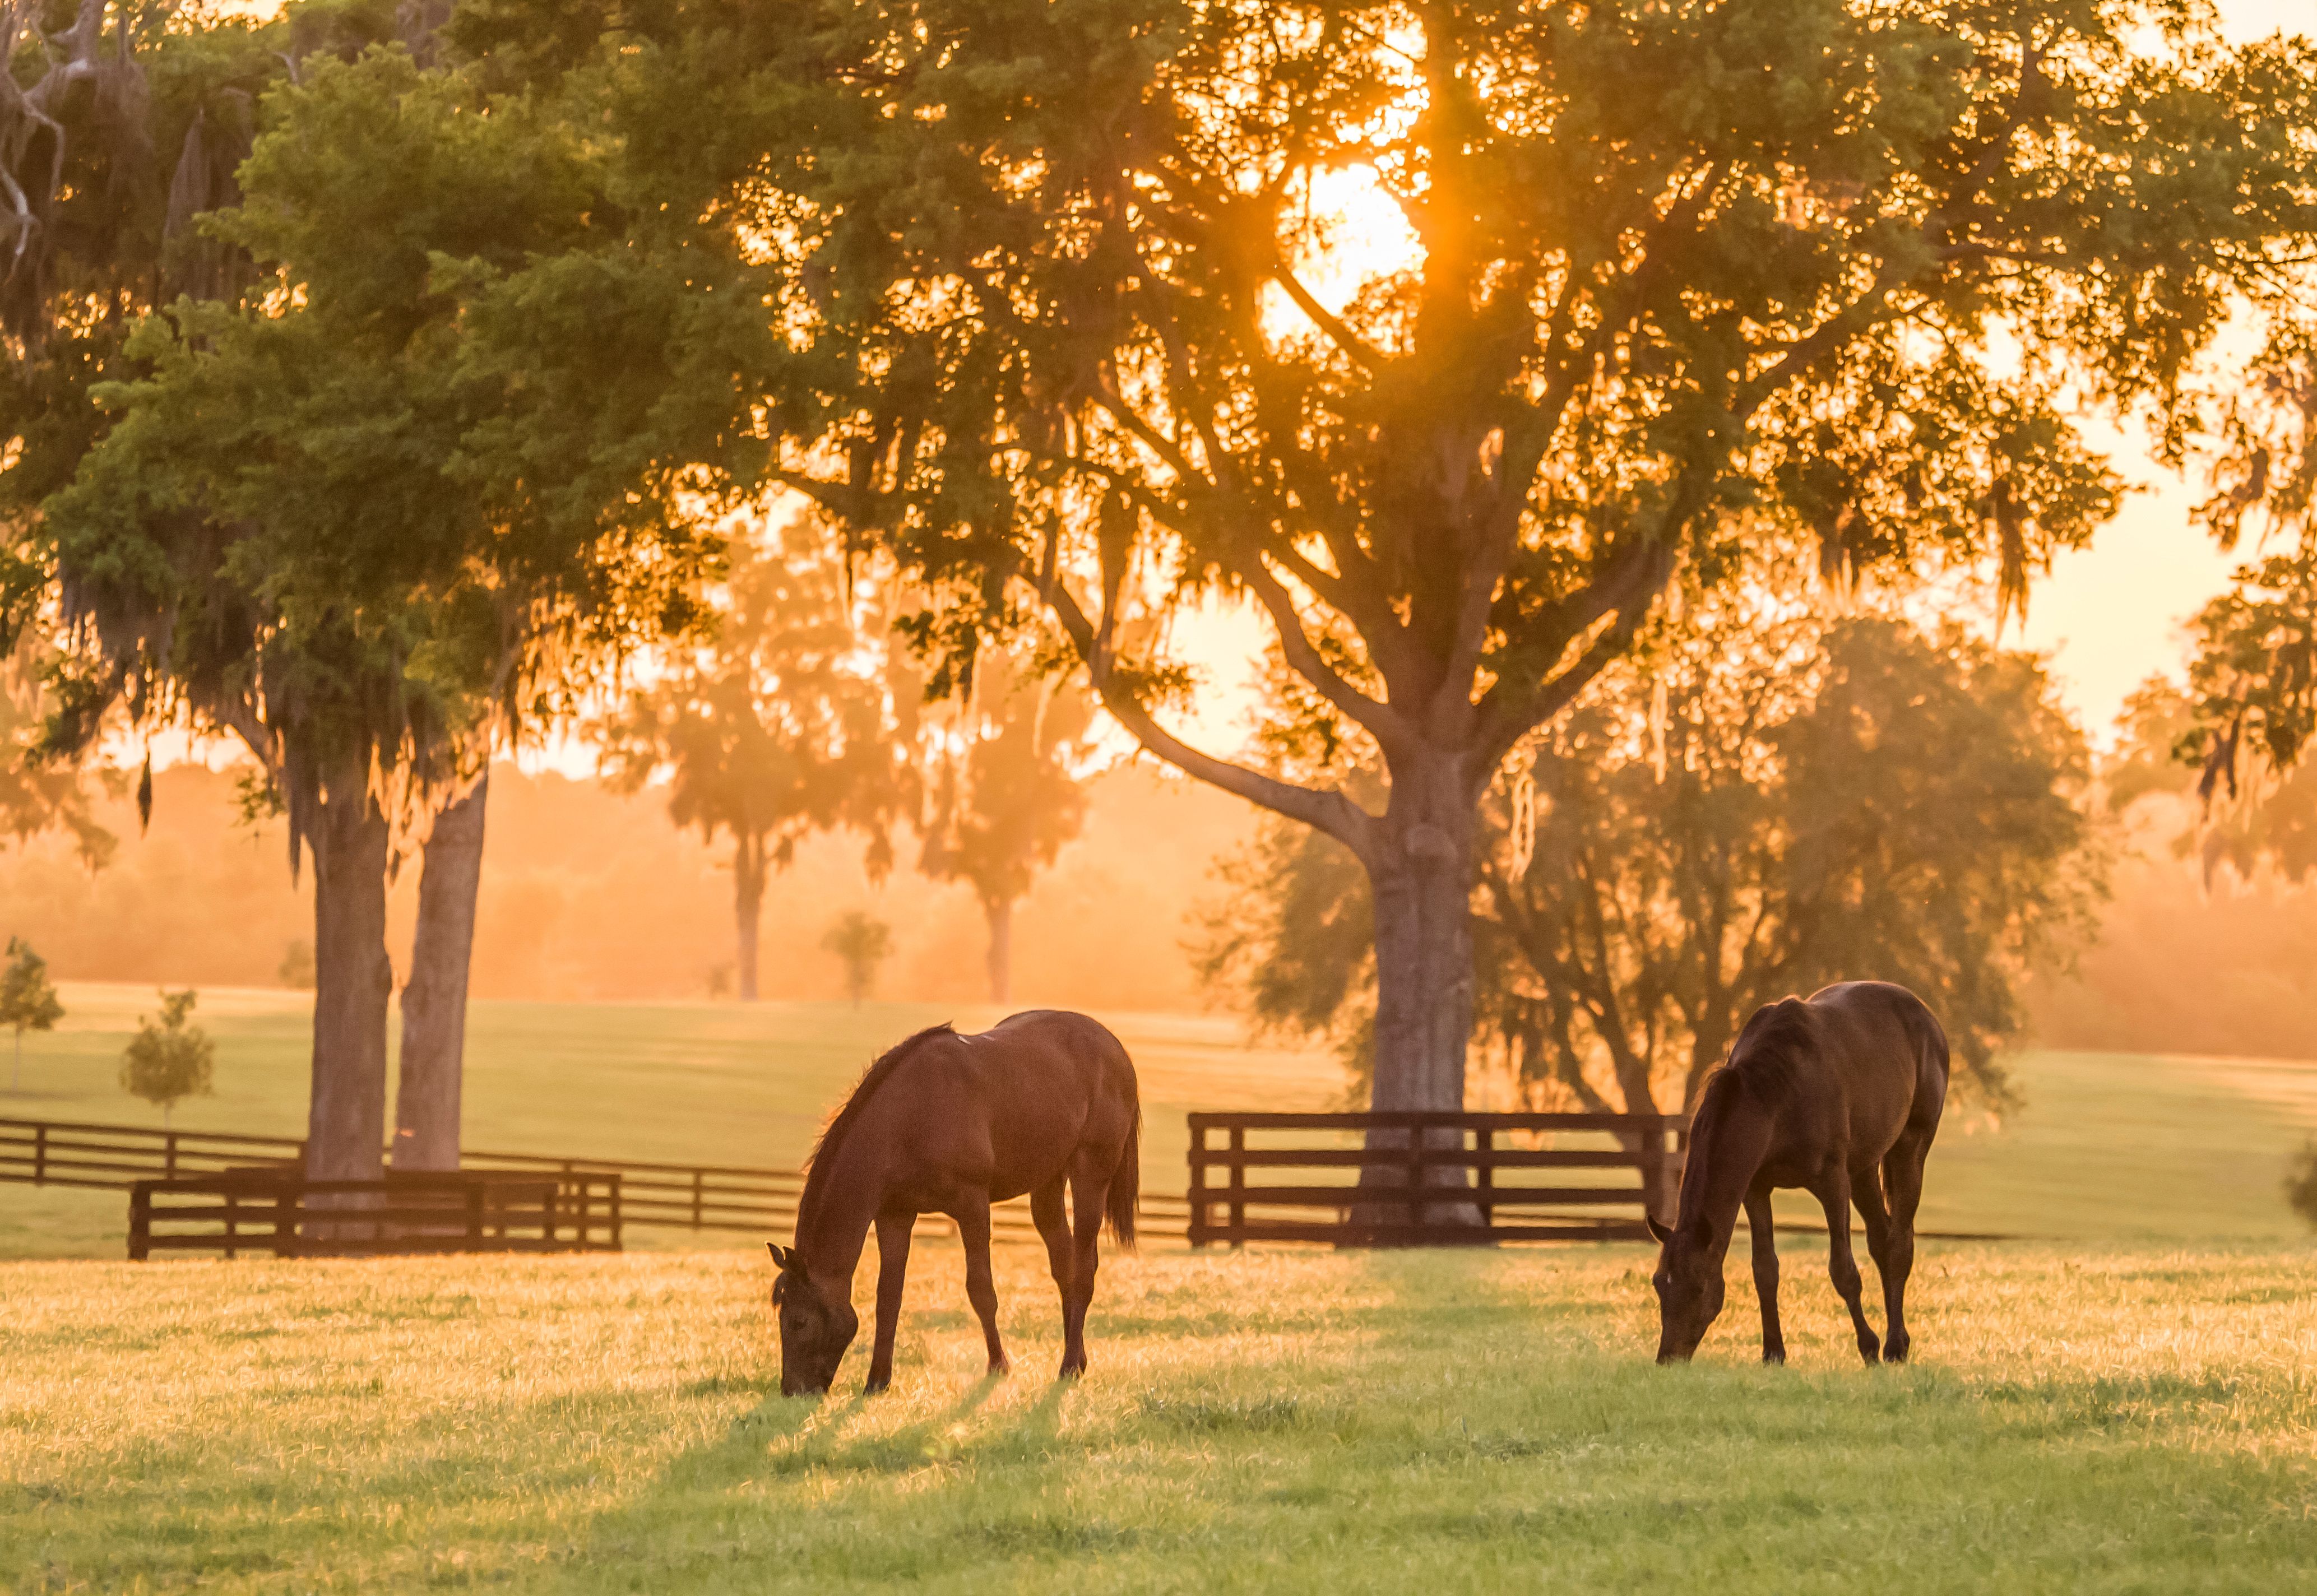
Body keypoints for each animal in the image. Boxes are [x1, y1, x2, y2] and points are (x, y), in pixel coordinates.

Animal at [769, 1010, 1139, 1390]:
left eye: (799, 1322)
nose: (792, 1391)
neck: (910, 1116)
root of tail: (1114, 1047)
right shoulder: (895, 1215)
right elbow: (888, 1297)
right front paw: (877, 1382)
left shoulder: (972, 1205)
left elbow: (981, 1290)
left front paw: (999, 1366)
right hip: (1048, 1183)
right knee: (1065, 1266)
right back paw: (1077, 1359)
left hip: (1090, 1175)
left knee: (1083, 1269)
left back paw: (1068, 1368)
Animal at [1640, 977, 1946, 1362]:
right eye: (1658, 1284)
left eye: (1697, 1287)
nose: (1669, 1358)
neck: (1774, 1095)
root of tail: (1927, 1017)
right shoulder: (1756, 1189)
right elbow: (1765, 1270)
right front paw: (1773, 1352)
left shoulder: (1833, 1183)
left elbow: (1843, 1271)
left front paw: (1868, 1347)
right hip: (1864, 1169)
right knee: (1882, 1241)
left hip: (1910, 1149)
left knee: (1899, 1244)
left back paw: (1894, 1346)